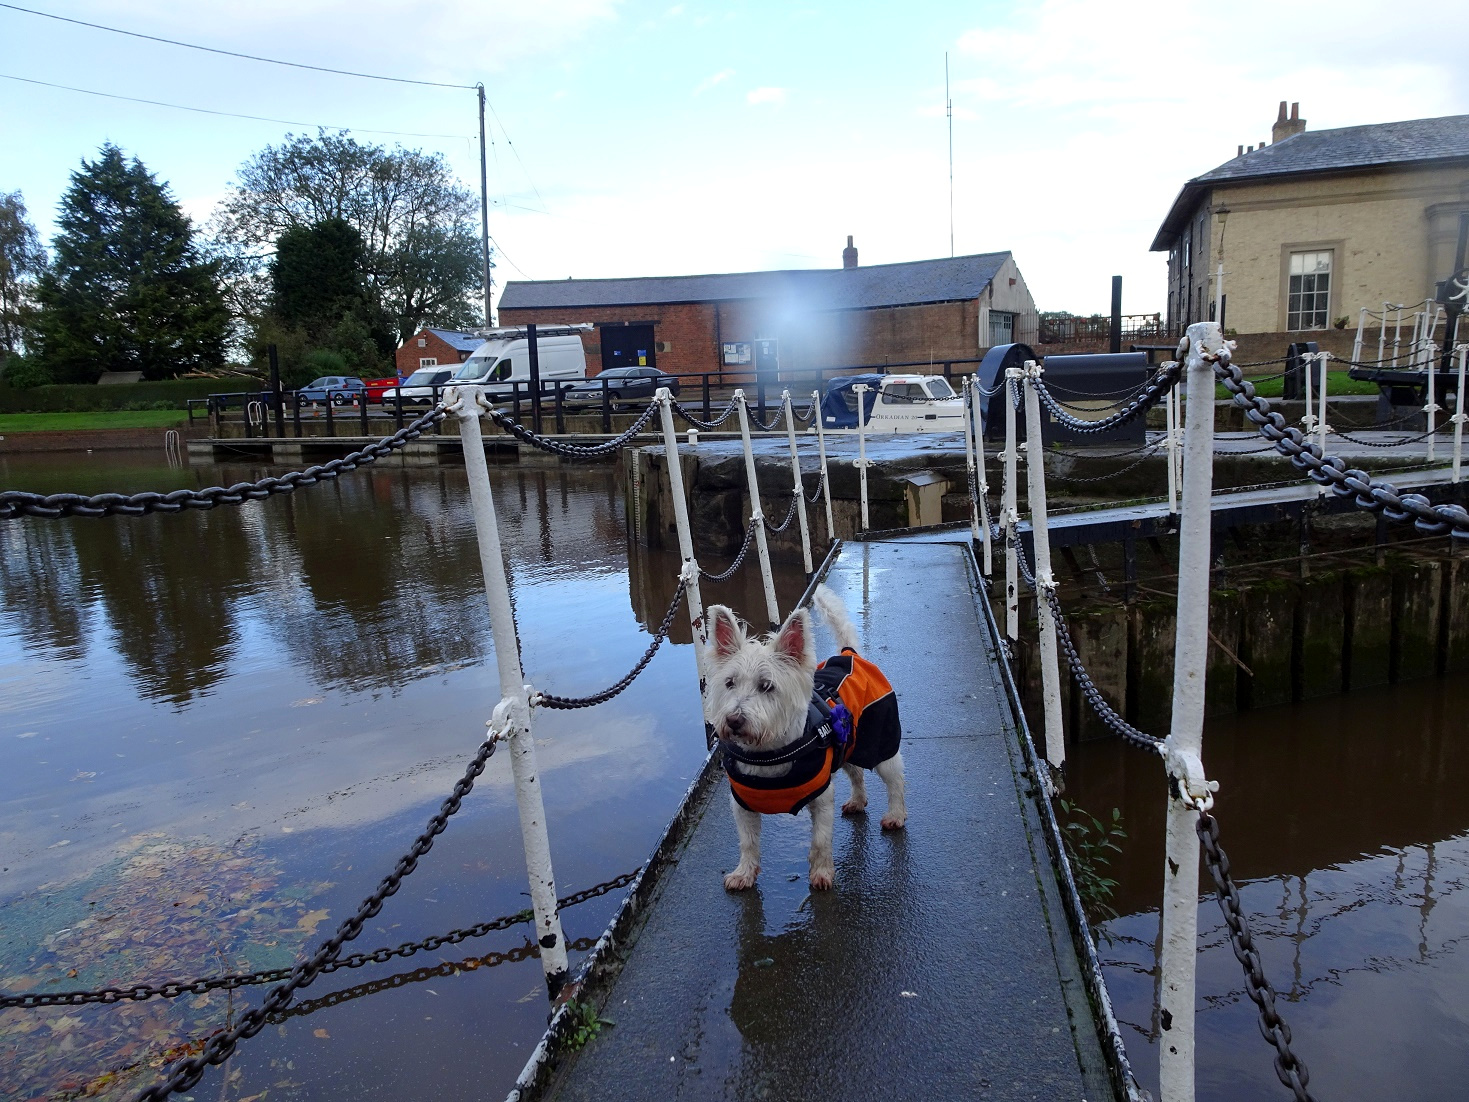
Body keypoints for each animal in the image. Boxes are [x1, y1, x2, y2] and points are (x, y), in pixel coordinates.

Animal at [702, 581, 899, 893]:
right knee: (856, 773)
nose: (733, 721)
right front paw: (744, 874)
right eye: (729, 683)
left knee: (895, 781)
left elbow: (820, 840)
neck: (769, 753)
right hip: (847, 744)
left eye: (767, 686)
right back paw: (858, 801)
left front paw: (822, 874)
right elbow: (748, 842)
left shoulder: (822, 799)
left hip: (882, 742)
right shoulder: (742, 806)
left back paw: (896, 815)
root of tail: (850, 654)